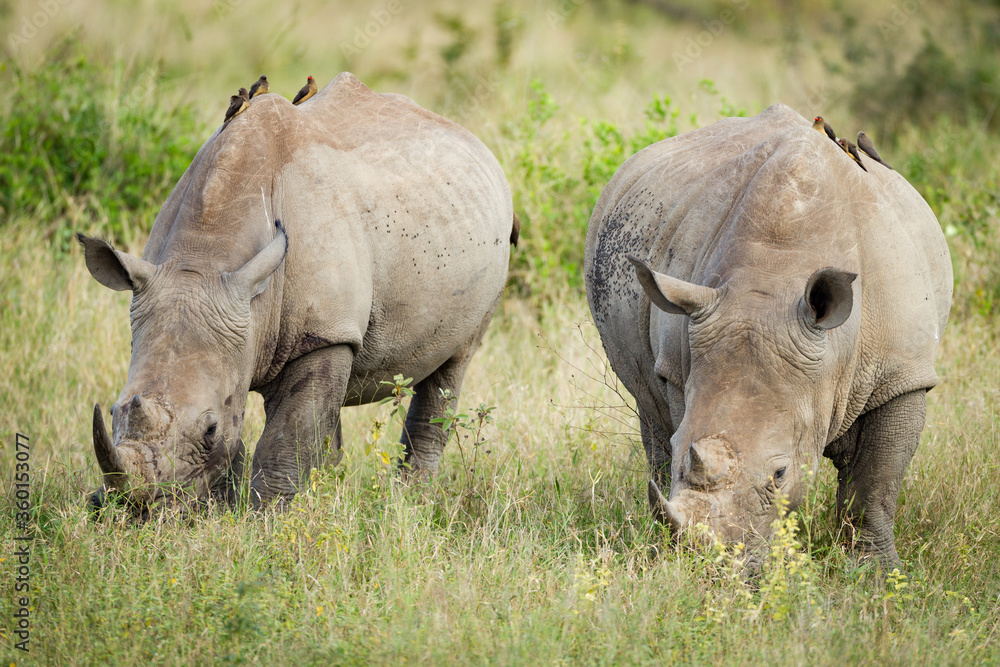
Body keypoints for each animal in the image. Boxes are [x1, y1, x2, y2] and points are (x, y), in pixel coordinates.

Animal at [79, 73, 516, 511]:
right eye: (113, 411)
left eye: (210, 430)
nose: (136, 511)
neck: (202, 260)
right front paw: (226, 507)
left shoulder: (323, 332)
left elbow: (287, 434)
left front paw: (266, 514)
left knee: (452, 364)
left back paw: (413, 498)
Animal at [585, 104, 952, 567]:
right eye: (682, 448)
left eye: (780, 474)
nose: (714, 565)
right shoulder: (679, 360)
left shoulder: (901, 374)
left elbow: (874, 486)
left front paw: (877, 575)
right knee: (648, 411)